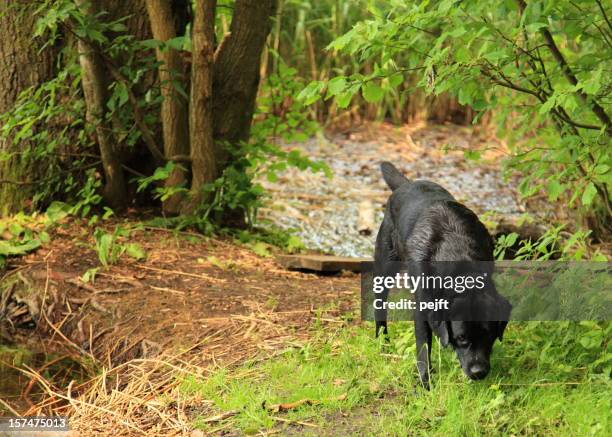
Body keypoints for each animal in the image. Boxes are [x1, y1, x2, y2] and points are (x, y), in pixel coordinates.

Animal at [372, 162, 512, 386]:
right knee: (379, 307)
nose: (479, 372)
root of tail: (406, 184)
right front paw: (425, 384)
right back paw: (383, 342)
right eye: (462, 338)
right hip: (384, 267)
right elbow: (423, 347)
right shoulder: (422, 306)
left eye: (489, 335)